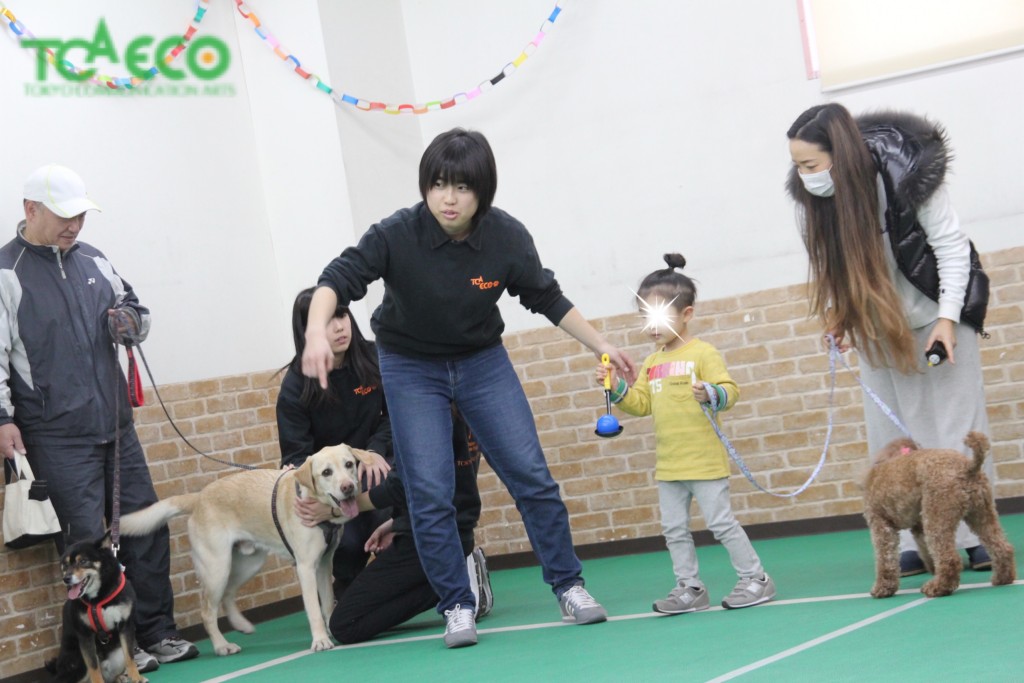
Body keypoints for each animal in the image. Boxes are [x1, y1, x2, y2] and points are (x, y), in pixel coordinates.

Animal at [45, 532, 148, 683]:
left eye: (83, 561)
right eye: (65, 564)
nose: (66, 579)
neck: (99, 598)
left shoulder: (126, 626)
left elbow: (130, 658)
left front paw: (136, 678)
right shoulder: (85, 634)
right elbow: (93, 667)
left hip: (118, 657)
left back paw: (119, 678)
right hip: (78, 663)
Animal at [119, 446, 368, 655]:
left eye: (349, 464)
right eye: (326, 472)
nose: (348, 487)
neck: (314, 502)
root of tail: (199, 498)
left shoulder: (325, 564)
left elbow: (327, 602)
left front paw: (330, 629)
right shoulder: (306, 567)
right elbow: (314, 609)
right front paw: (320, 640)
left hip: (249, 563)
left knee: (228, 595)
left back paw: (241, 625)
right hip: (217, 568)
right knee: (207, 611)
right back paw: (222, 646)